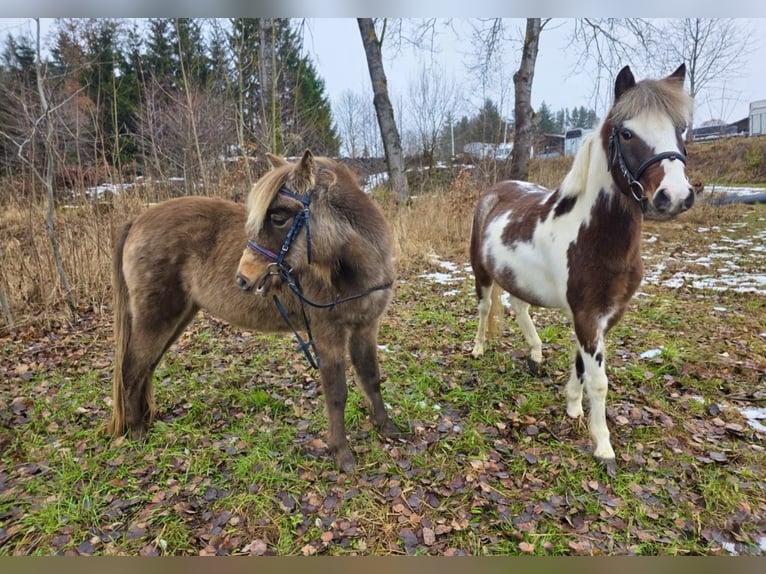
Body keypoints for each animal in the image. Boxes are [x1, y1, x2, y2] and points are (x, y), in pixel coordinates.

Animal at [109, 150, 403, 473]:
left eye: (278, 218)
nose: (243, 277)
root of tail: (137, 220)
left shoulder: (366, 327)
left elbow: (371, 377)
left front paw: (387, 428)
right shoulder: (328, 335)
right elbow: (337, 393)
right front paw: (342, 454)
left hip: (177, 318)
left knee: (146, 367)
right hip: (156, 318)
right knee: (131, 369)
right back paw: (137, 431)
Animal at [469, 64, 694, 473]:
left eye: (680, 128)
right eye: (627, 132)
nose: (675, 197)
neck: (594, 234)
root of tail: (495, 191)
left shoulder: (602, 315)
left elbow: (580, 365)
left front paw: (573, 406)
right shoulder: (587, 314)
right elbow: (599, 380)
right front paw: (602, 444)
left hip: (518, 279)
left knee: (519, 308)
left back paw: (536, 352)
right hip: (481, 273)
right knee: (483, 308)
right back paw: (478, 348)